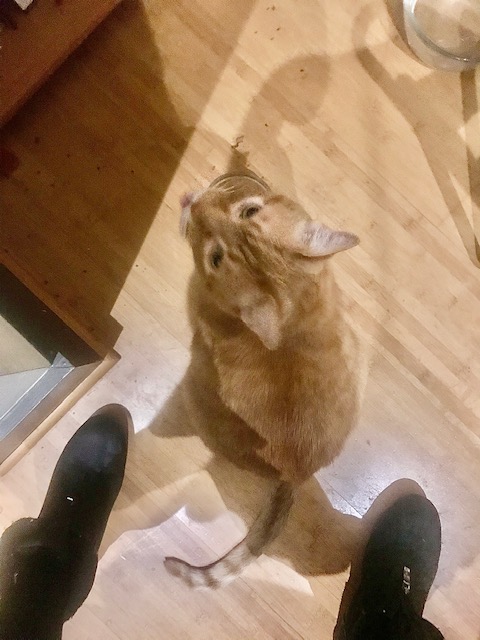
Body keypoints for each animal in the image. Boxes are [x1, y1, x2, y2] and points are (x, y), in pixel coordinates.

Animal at [164, 174, 366, 588]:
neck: (292, 294)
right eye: (249, 211)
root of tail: (295, 475)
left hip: (194, 395)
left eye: (216, 258)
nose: (193, 203)